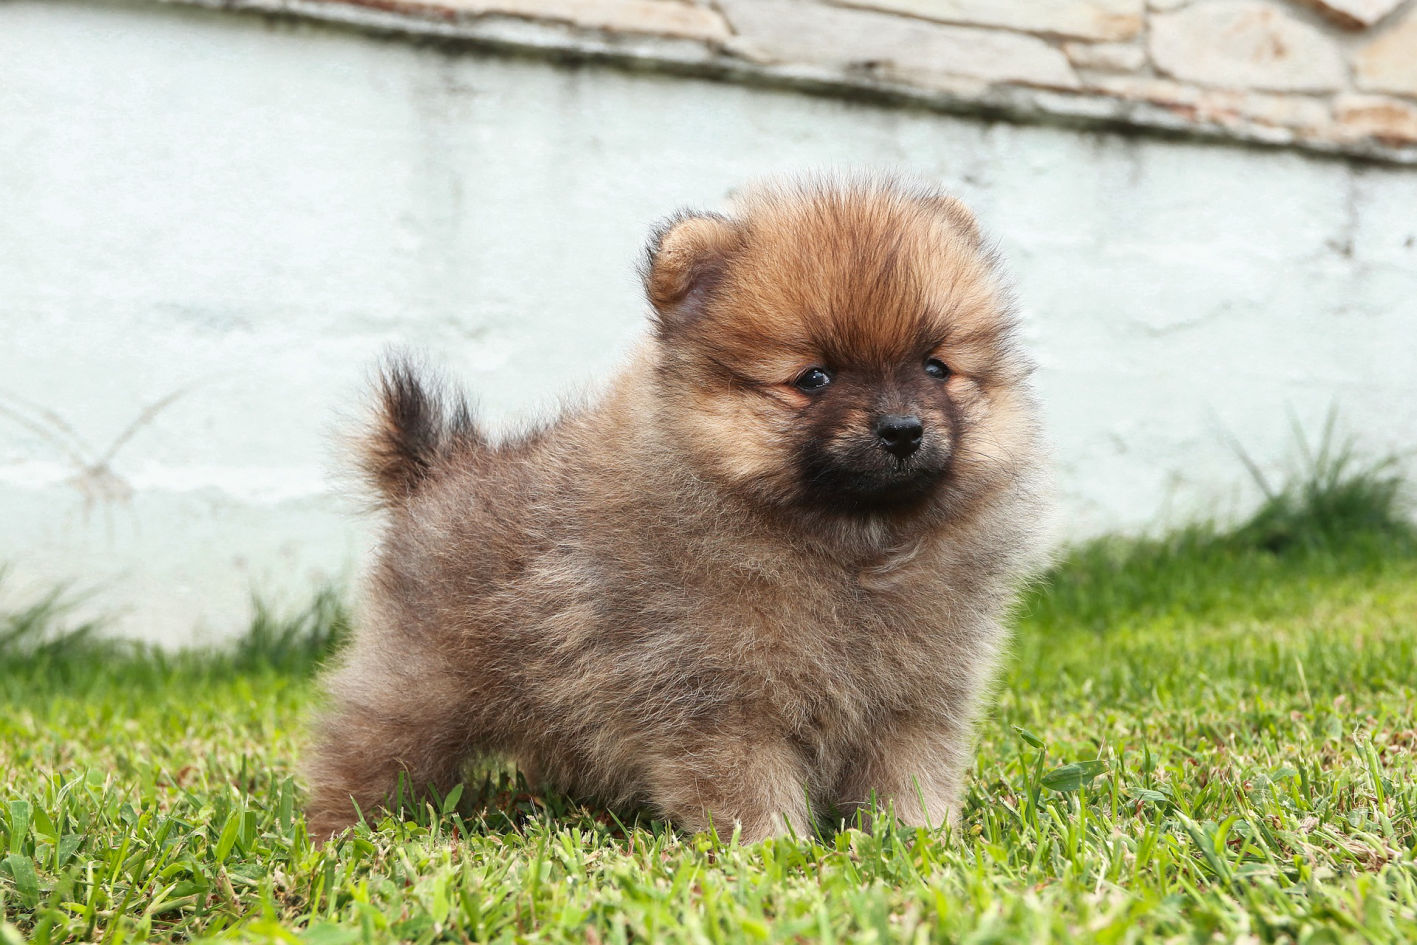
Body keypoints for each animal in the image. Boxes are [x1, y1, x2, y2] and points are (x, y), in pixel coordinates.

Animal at [304, 173, 1048, 838]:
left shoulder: (915, 700)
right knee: (361, 748)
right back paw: (339, 830)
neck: (853, 550)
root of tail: (435, 469)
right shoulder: (718, 700)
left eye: (934, 367)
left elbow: (910, 778)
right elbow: (749, 788)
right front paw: (773, 853)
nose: (901, 428)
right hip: (418, 684)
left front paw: (919, 842)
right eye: (813, 378)